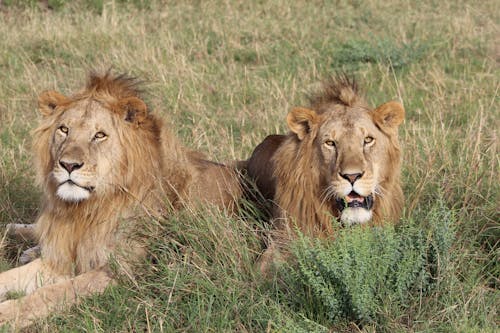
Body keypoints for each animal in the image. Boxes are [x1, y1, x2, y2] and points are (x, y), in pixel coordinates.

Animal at [0, 70, 242, 326]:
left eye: (100, 135)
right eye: (64, 130)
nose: (68, 165)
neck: (87, 210)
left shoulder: (119, 272)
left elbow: (51, 293)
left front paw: (7, 314)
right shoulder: (62, 257)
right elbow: (10, 277)